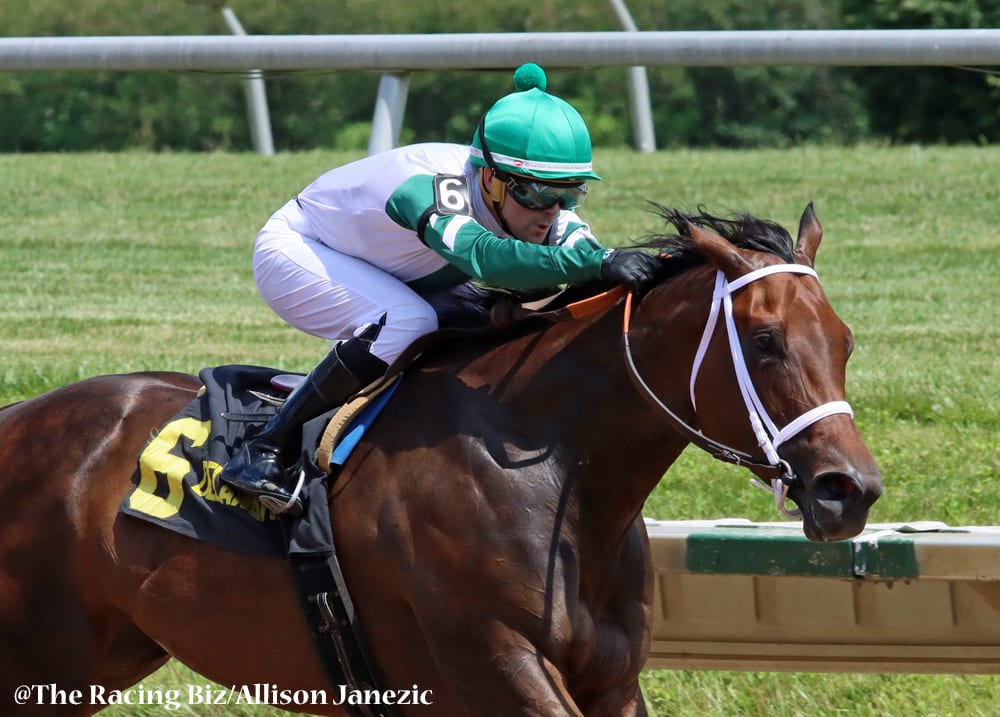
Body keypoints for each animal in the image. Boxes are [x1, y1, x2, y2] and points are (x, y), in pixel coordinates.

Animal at [0, 204, 880, 712]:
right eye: (764, 341)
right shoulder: (494, 666)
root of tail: (17, 418)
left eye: (844, 341)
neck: (551, 472)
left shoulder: (613, 680)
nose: (850, 490)